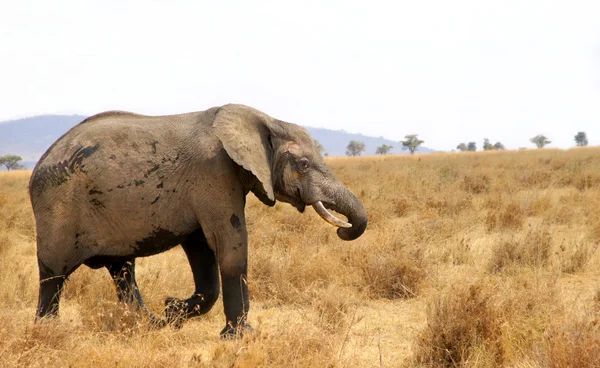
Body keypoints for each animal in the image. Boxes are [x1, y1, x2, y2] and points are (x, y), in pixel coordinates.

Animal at [30, 103, 368, 336]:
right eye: (303, 164)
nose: (345, 230)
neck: (265, 119)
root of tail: (39, 164)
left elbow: (203, 251)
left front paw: (173, 310)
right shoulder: (214, 173)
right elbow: (229, 244)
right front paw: (240, 336)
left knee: (122, 271)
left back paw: (147, 325)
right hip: (57, 207)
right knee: (53, 276)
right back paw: (48, 331)